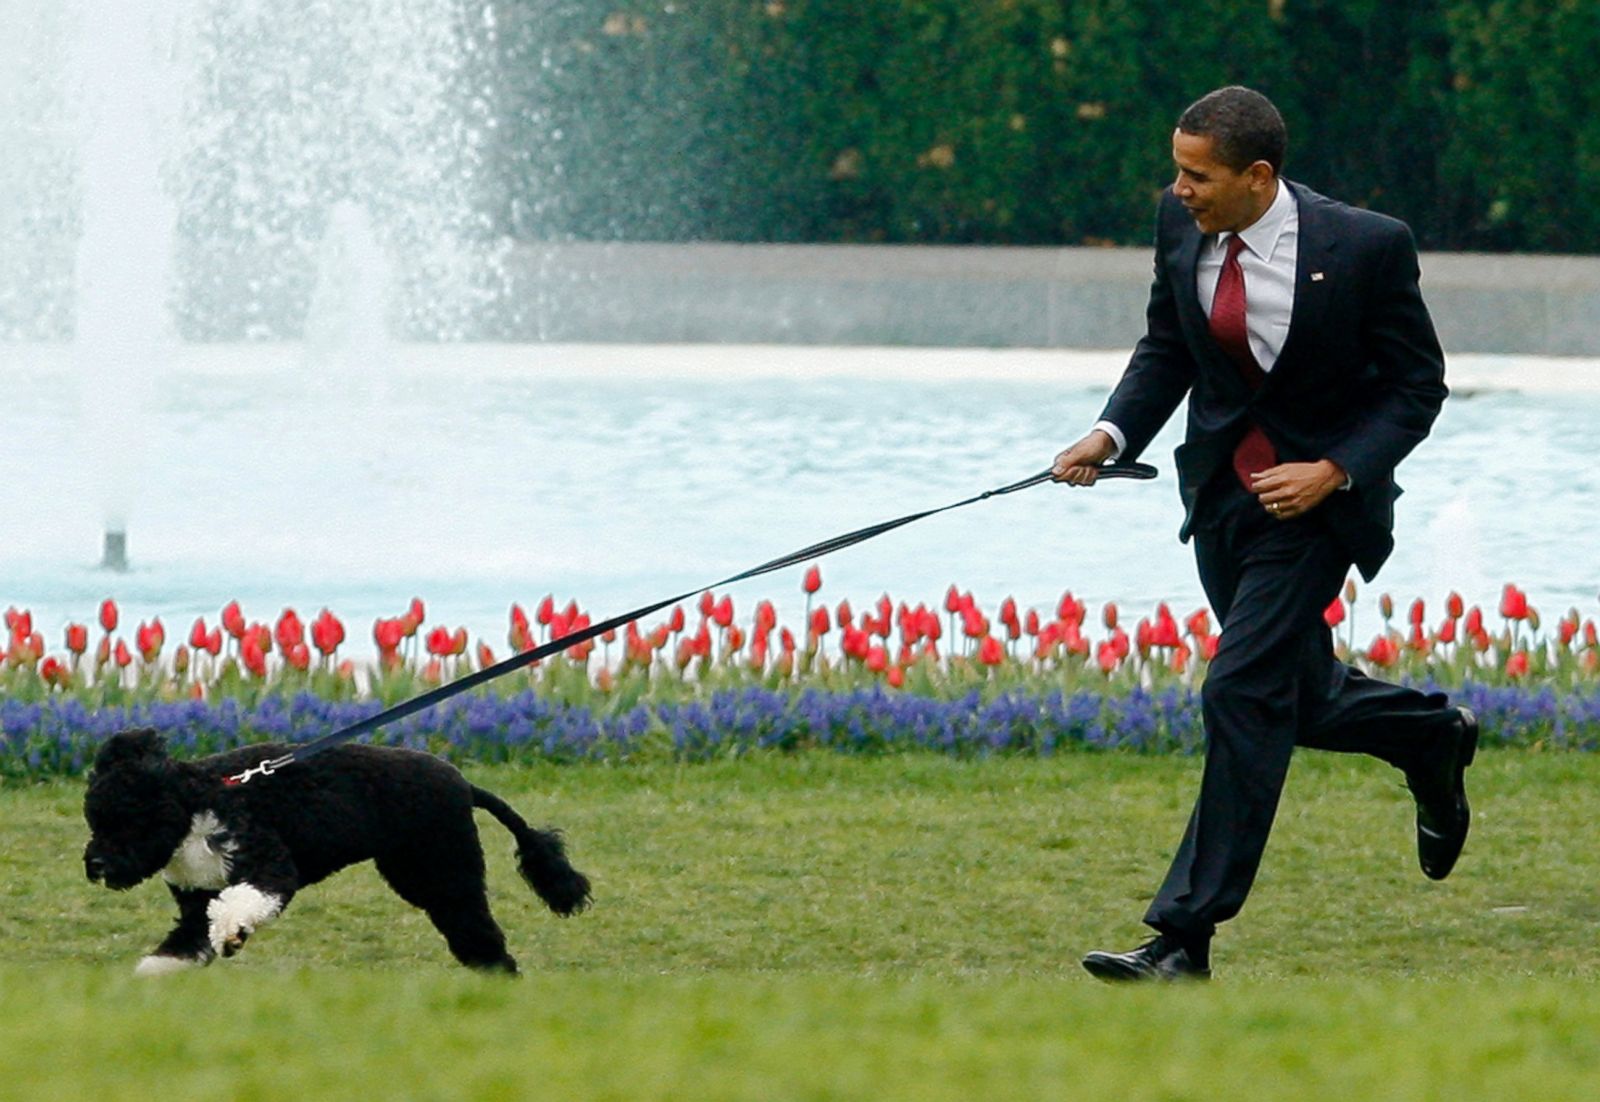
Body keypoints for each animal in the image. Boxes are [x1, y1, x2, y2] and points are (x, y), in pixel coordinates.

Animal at [82, 729, 595, 972]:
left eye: (128, 820)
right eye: (94, 820)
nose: (96, 865)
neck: (196, 806)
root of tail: (464, 784)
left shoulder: (266, 863)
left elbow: (246, 899)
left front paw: (234, 930)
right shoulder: (195, 901)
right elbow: (178, 949)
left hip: (444, 872)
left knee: (481, 938)